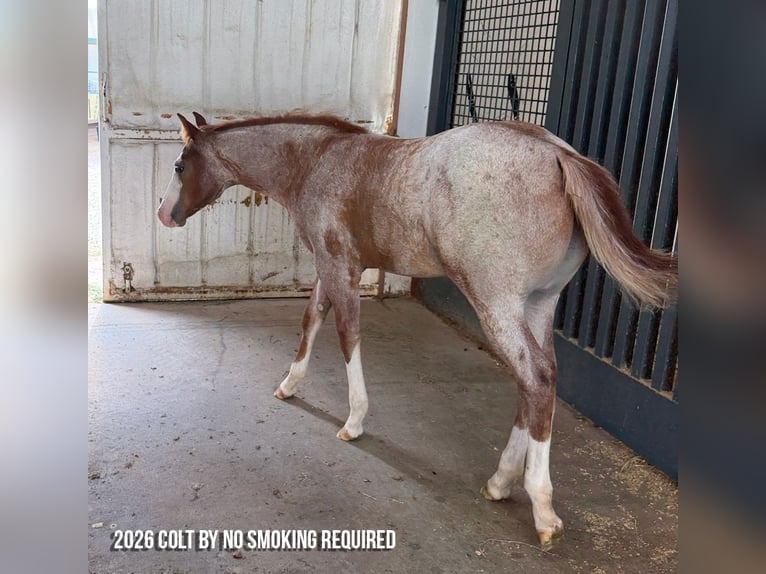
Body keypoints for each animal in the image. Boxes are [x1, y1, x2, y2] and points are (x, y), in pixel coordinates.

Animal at [157, 112, 677, 549]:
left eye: (180, 165)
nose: (164, 215)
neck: (318, 161)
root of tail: (557, 153)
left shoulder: (340, 269)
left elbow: (347, 335)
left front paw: (354, 421)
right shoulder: (330, 268)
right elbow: (312, 320)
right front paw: (289, 385)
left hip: (497, 304)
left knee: (535, 380)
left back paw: (541, 507)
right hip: (536, 306)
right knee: (537, 383)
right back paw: (500, 481)